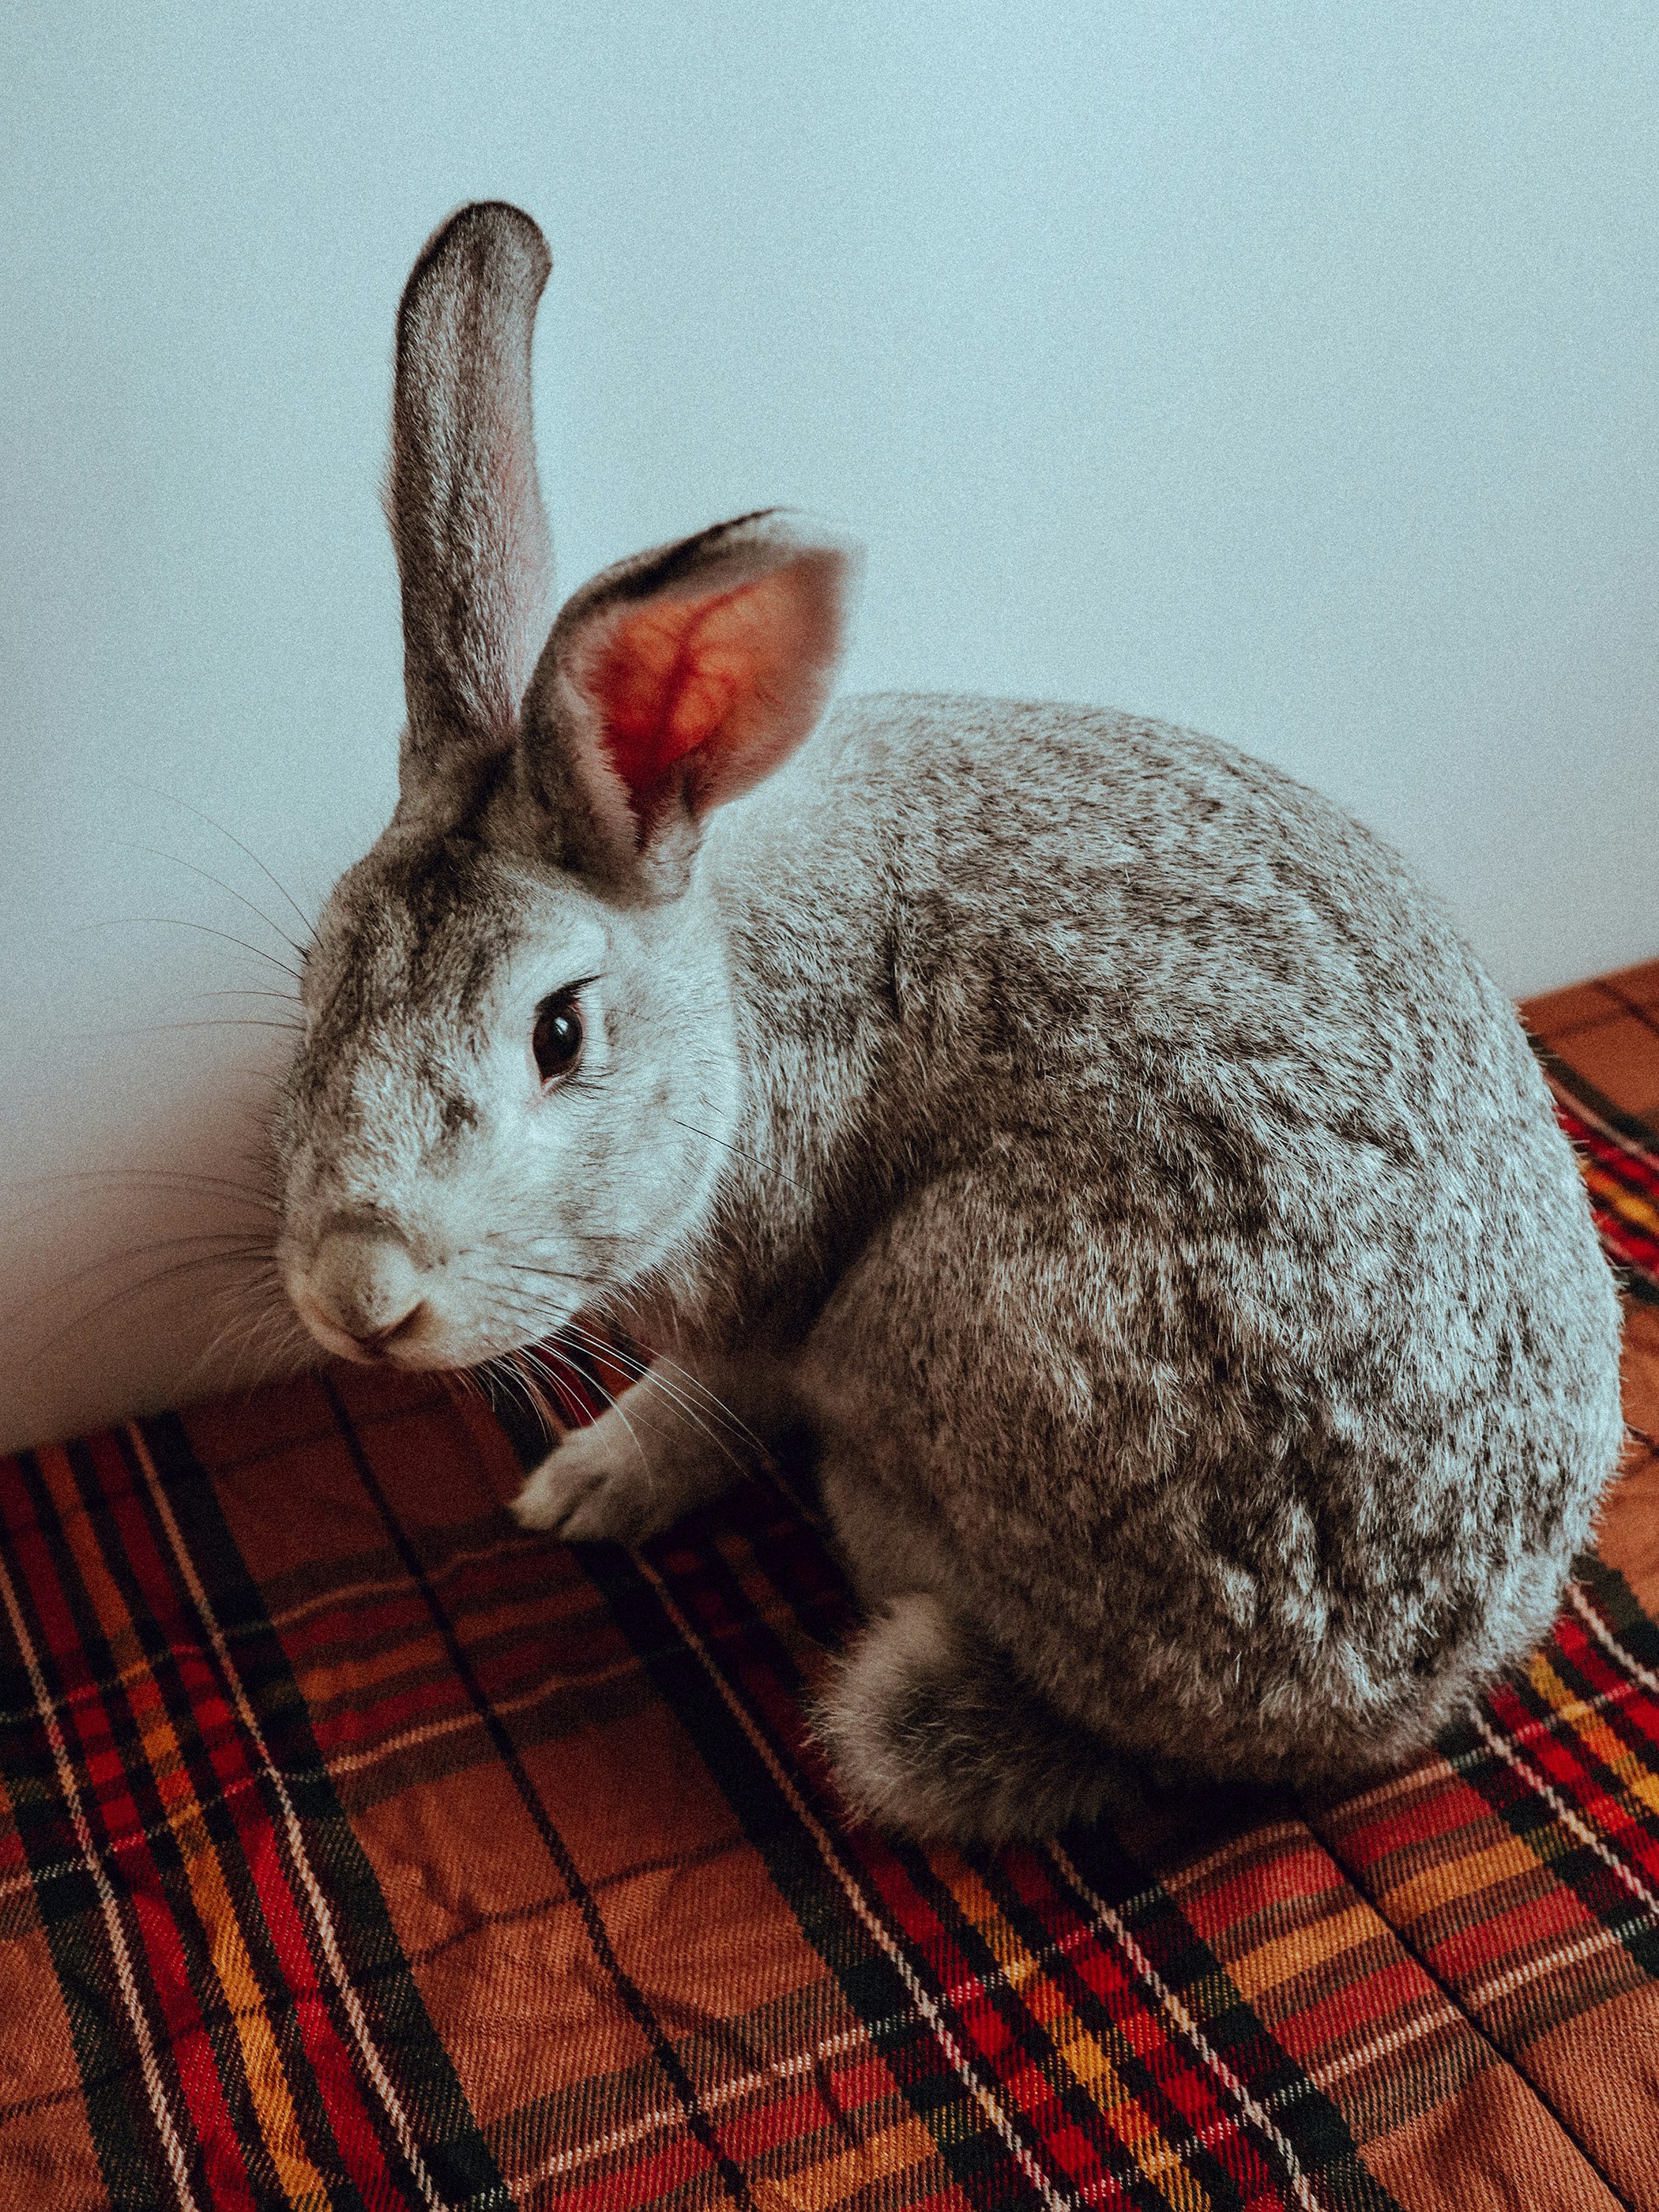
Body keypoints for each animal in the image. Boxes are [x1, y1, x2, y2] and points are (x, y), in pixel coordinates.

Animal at [272, 200, 1625, 1842]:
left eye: (559, 1036)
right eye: (318, 982)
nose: (357, 1294)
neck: (727, 992)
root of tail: (1339, 1720)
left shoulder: (758, 1304)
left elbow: (694, 1404)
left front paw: (580, 1488)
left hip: (963, 1306)